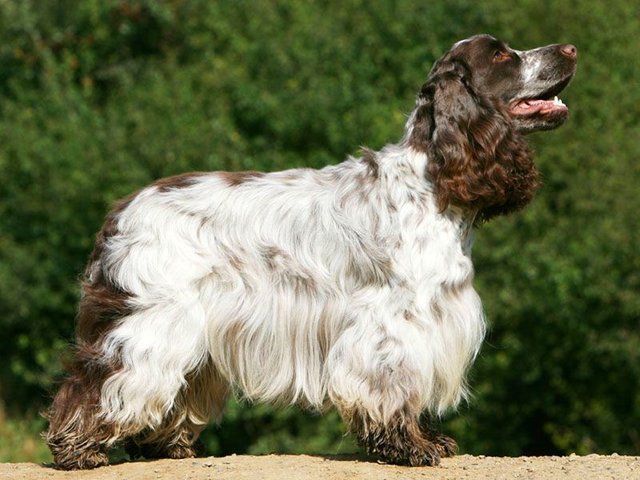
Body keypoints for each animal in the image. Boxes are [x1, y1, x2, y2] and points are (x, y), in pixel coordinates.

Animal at [45, 34, 576, 468]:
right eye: (502, 55)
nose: (569, 49)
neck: (432, 181)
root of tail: (121, 211)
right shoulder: (392, 321)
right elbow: (393, 383)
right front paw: (410, 446)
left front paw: (428, 439)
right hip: (153, 319)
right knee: (99, 379)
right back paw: (79, 450)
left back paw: (166, 445)